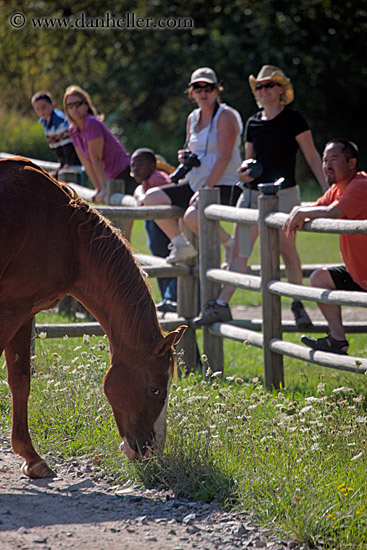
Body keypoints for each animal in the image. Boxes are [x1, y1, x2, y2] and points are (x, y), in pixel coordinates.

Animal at [0, 158, 187, 478]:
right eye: (155, 389)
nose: (151, 450)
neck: (66, 234)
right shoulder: (12, 306)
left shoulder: (24, 313)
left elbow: (20, 380)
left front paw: (31, 457)